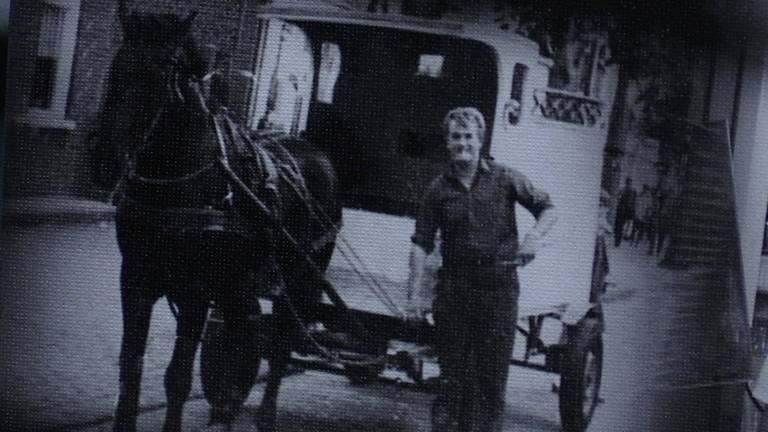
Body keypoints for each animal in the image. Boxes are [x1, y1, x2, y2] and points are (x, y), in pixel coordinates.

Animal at [95, 7, 340, 432]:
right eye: (117, 65)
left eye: (161, 71)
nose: (107, 156)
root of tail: (317, 154)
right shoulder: (136, 280)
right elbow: (130, 367)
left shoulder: (196, 289)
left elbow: (177, 377)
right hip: (240, 285)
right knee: (243, 334)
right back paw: (225, 410)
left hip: (300, 280)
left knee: (280, 344)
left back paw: (265, 416)